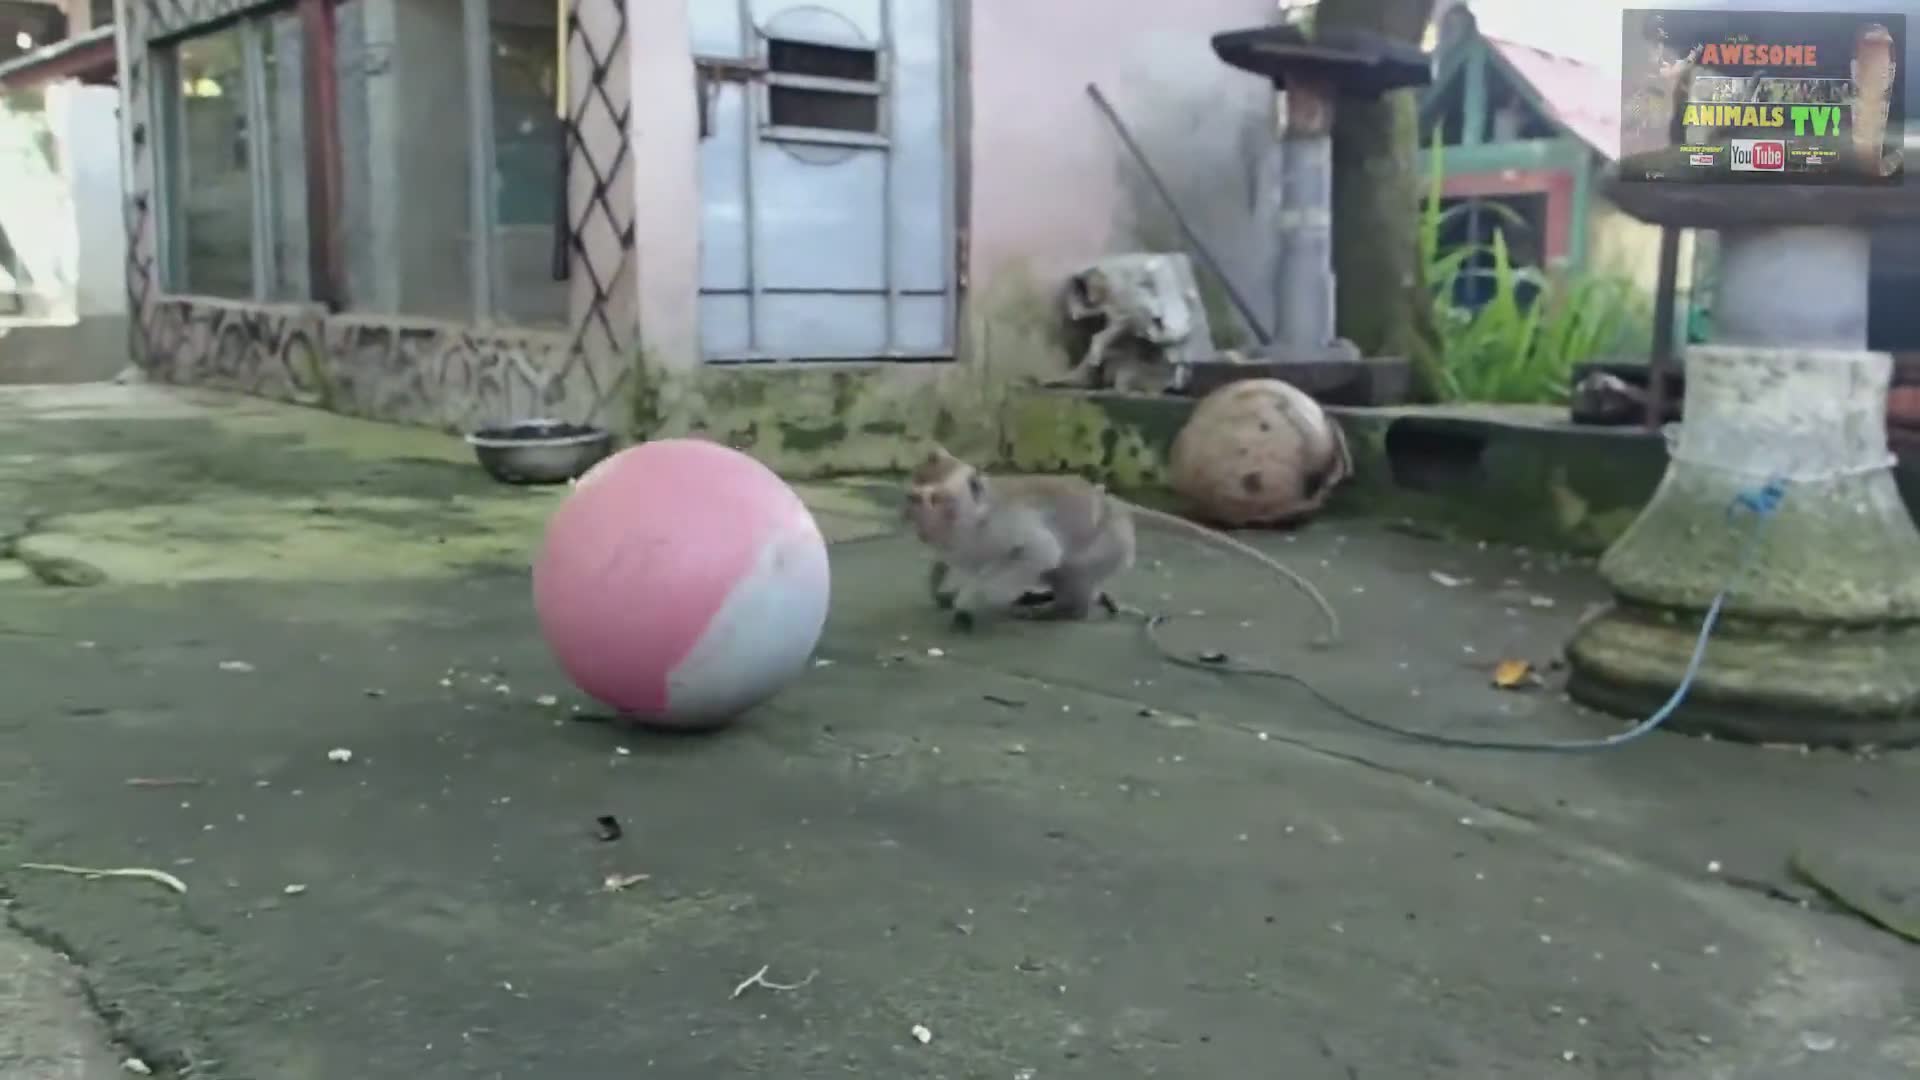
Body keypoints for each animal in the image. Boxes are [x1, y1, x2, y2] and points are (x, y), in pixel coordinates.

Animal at [903, 446, 1340, 643]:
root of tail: (1116, 505)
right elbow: (950, 561)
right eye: (914, 496)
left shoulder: (1007, 527)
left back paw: (1062, 609)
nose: (914, 516)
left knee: (1069, 569)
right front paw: (940, 584)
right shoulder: (960, 543)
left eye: (936, 499)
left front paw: (968, 600)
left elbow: (1039, 552)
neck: (972, 523)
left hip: (1108, 545)